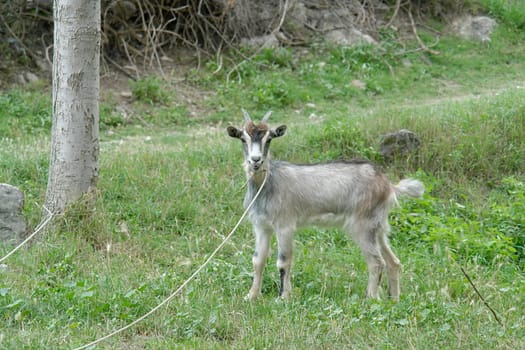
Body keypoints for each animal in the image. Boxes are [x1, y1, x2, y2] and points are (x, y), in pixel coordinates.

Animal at [227, 110, 424, 300]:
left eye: (269, 138)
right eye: (243, 138)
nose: (256, 160)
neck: (268, 184)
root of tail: (388, 185)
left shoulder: (285, 225)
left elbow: (283, 262)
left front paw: (283, 297)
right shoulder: (261, 226)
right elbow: (258, 260)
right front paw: (251, 296)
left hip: (363, 225)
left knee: (376, 262)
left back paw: (371, 299)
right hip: (379, 226)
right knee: (393, 261)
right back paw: (394, 299)